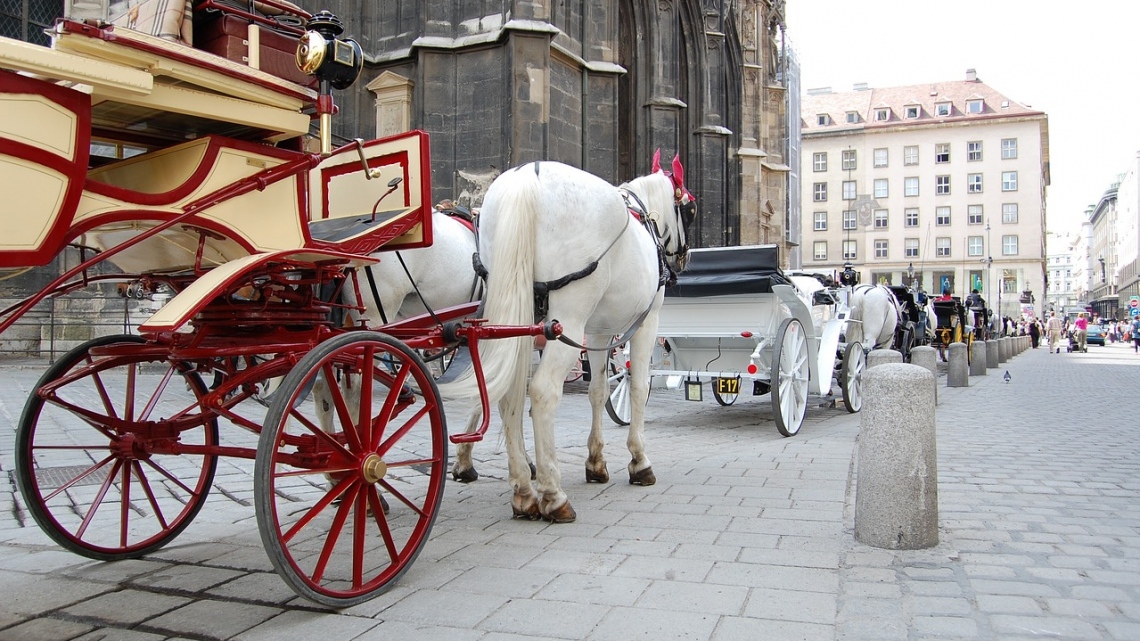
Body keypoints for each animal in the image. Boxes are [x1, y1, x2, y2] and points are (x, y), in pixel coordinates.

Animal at [440, 151, 693, 522]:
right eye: (690, 208)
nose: (684, 257)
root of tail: (526, 179)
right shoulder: (646, 322)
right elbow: (637, 387)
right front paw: (639, 460)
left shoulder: (599, 330)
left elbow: (598, 390)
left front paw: (596, 462)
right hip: (566, 322)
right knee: (542, 392)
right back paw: (552, 494)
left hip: (516, 316)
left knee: (505, 393)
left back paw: (523, 490)